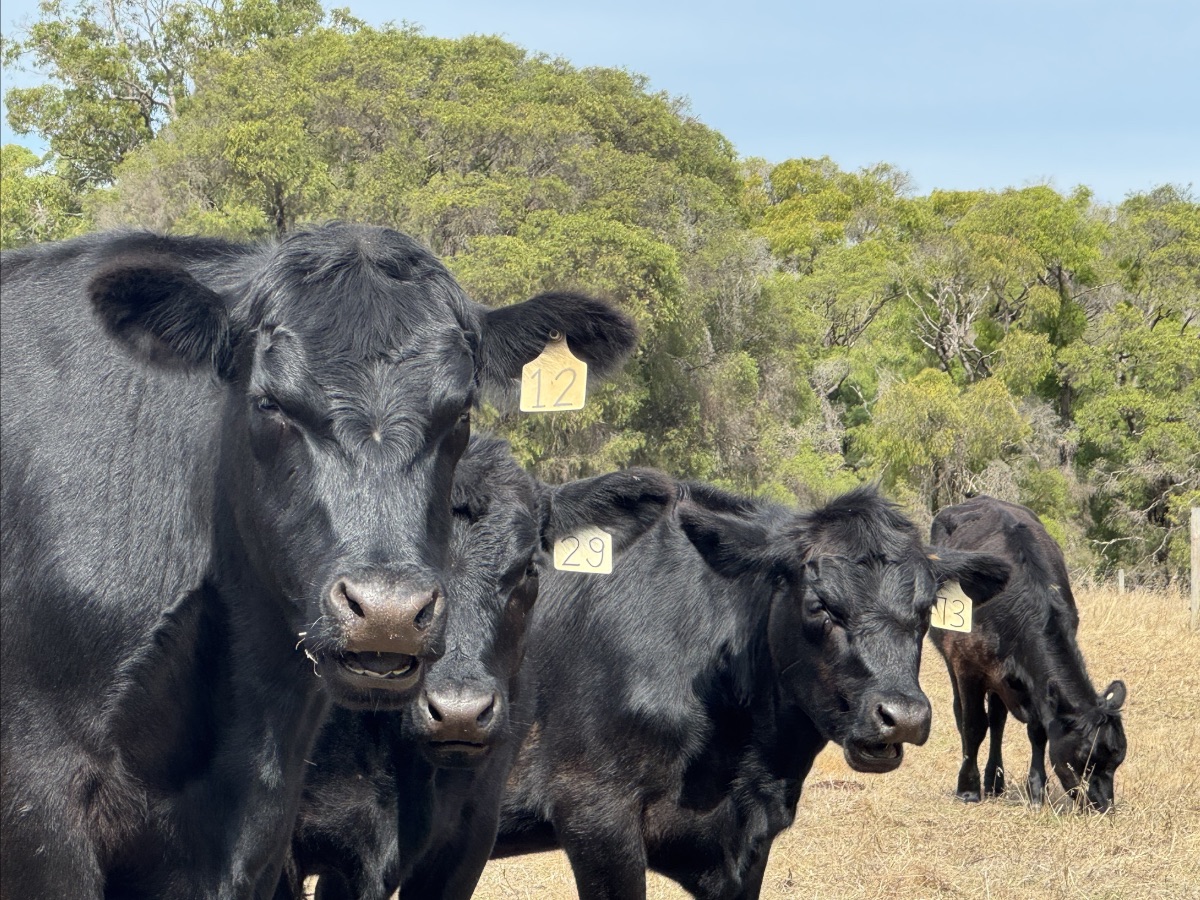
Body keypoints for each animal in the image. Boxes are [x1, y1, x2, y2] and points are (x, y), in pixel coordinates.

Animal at [928, 495, 1127, 812]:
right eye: (1084, 758)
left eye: (1117, 760)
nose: (1103, 805)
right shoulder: (967, 666)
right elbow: (973, 725)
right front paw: (968, 789)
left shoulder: (1036, 684)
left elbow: (1038, 731)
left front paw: (1036, 792)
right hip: (954, 659)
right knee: (965, 715)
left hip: (999, 679)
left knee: (997, 720)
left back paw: (995, 782)